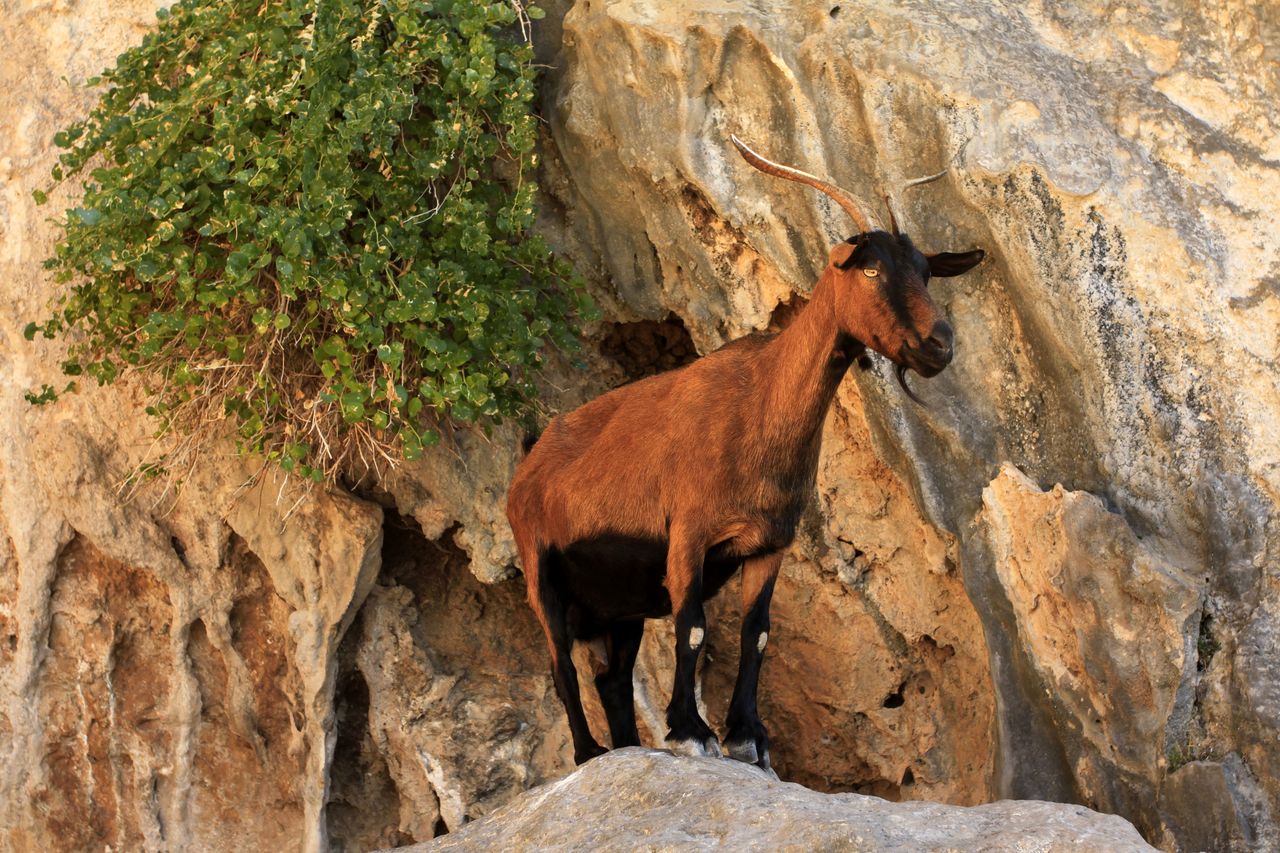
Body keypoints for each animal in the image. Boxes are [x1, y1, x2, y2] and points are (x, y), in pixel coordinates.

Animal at [504, 137, 983, 763]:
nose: (938, 345)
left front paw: (749, 735)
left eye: (926, 272)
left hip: (622, 599)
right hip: (542, 574)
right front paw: (692, 729)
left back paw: (628, 747)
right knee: (562, 665)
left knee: (611, 676)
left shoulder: (767, 545)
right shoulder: (687, 535)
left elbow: (757, 634)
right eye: (871, 268)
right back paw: (590, 753)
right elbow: (693, 628)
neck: (759, 407)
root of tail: (527, 469)